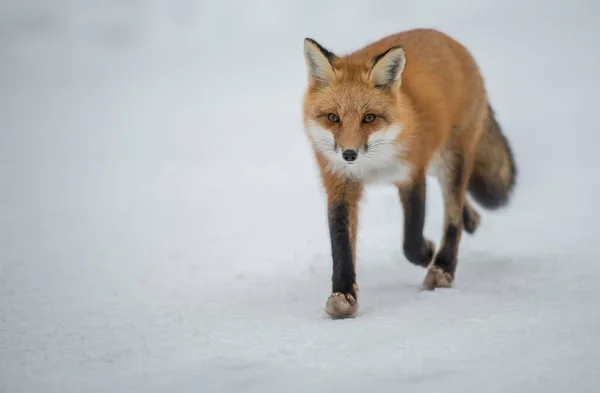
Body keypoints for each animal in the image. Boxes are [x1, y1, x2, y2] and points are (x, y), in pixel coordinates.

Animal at [302, 28, 516, 318]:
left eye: (369, 118)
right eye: (332, 118)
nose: (349, 155)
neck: (373, 165)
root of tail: (449, 41)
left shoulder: (412, 173)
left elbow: (411, 240)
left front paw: (427, 253)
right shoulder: (340, 184)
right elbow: (341, 244)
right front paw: (343, 295)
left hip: (450, 159)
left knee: (453, 216)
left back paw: (443, 267)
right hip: (437, 162)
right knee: (463, 204)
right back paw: (471, 219)